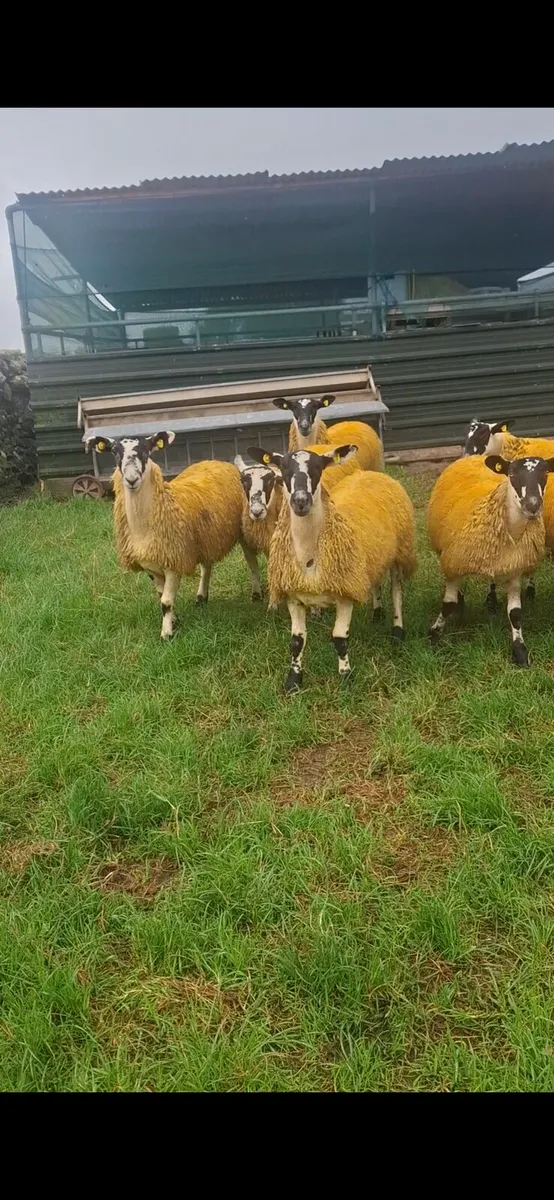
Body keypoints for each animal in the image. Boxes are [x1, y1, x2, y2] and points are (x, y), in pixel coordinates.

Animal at [86, 432, 264, 639]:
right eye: (114, 452)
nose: (131, 479)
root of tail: (218, 462)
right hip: (205, 537)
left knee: (251, 562)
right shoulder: (151, 566)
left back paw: (256, 594)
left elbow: (166, 601)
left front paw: (167, 634)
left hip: (244, 529)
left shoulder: (174, 562)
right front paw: (174, 620)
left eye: (146, 451)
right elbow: (161, 596)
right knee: (207, 567)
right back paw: (201, 597)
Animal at [247, 443, 417, 694]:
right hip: (369, 559)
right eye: (284, 469)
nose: (300, 501)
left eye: (318, 469)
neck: (309, 554)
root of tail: (370, 473)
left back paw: (397, 632)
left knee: (396, 590)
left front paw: (346, 677)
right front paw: (293, 681)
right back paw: (376, 612)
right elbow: (296, 641)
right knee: (375, 581)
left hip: (400, 550)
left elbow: (339, 639)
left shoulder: (344, 593)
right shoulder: (293, 596)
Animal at [427, 453, 554, 666]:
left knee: (491, 580)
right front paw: (434, 634)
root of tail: (476, 456)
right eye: (512, 474)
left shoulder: (514, 569)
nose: (532, 505)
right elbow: (448, 605)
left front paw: (520, 651)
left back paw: (491, 600)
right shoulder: (453, 562)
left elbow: (515, 613)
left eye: (545, 472)